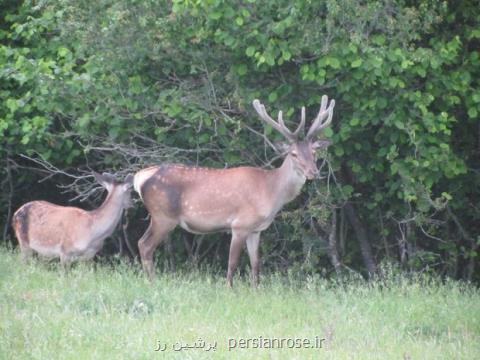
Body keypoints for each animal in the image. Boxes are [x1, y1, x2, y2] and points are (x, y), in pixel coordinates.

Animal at [133, 95, 336, 286]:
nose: (313, 172)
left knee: (143, 243)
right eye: (293, 154)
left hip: (160, 217)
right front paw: (229, 289)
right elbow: (232, 263)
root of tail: (139, 178)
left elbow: (255, 264)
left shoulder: (256, 230)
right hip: (163, 216)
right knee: (144, 245)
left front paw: (256, 290)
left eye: (314, 152)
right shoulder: (240, 224)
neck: (270, 192)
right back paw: (152, 282)